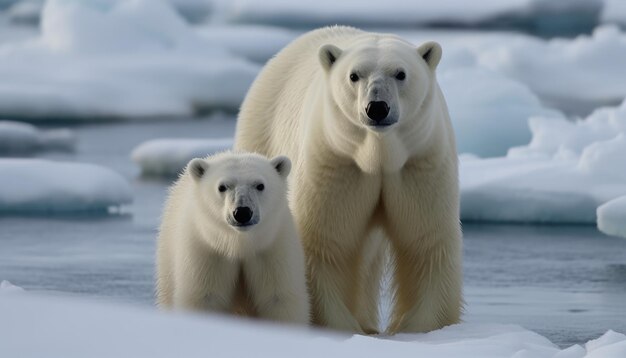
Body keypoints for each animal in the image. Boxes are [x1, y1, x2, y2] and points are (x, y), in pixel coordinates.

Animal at [156, 151, 310, 324]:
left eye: (260, 185)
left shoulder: (273, 248)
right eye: (222, 187)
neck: (239, 243)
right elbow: (205, 297)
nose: (242, 212)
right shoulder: (208, 251)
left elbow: (278, 298)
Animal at [233, 26, 458, 334]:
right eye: (354, 75)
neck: (378, 155)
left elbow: (426, 240)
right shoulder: (337, 163)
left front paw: (423, 328)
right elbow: (327, 243)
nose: (377, 107)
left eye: (400, 73)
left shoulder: (418, 162)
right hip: (262, 137)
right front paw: (339, 326)